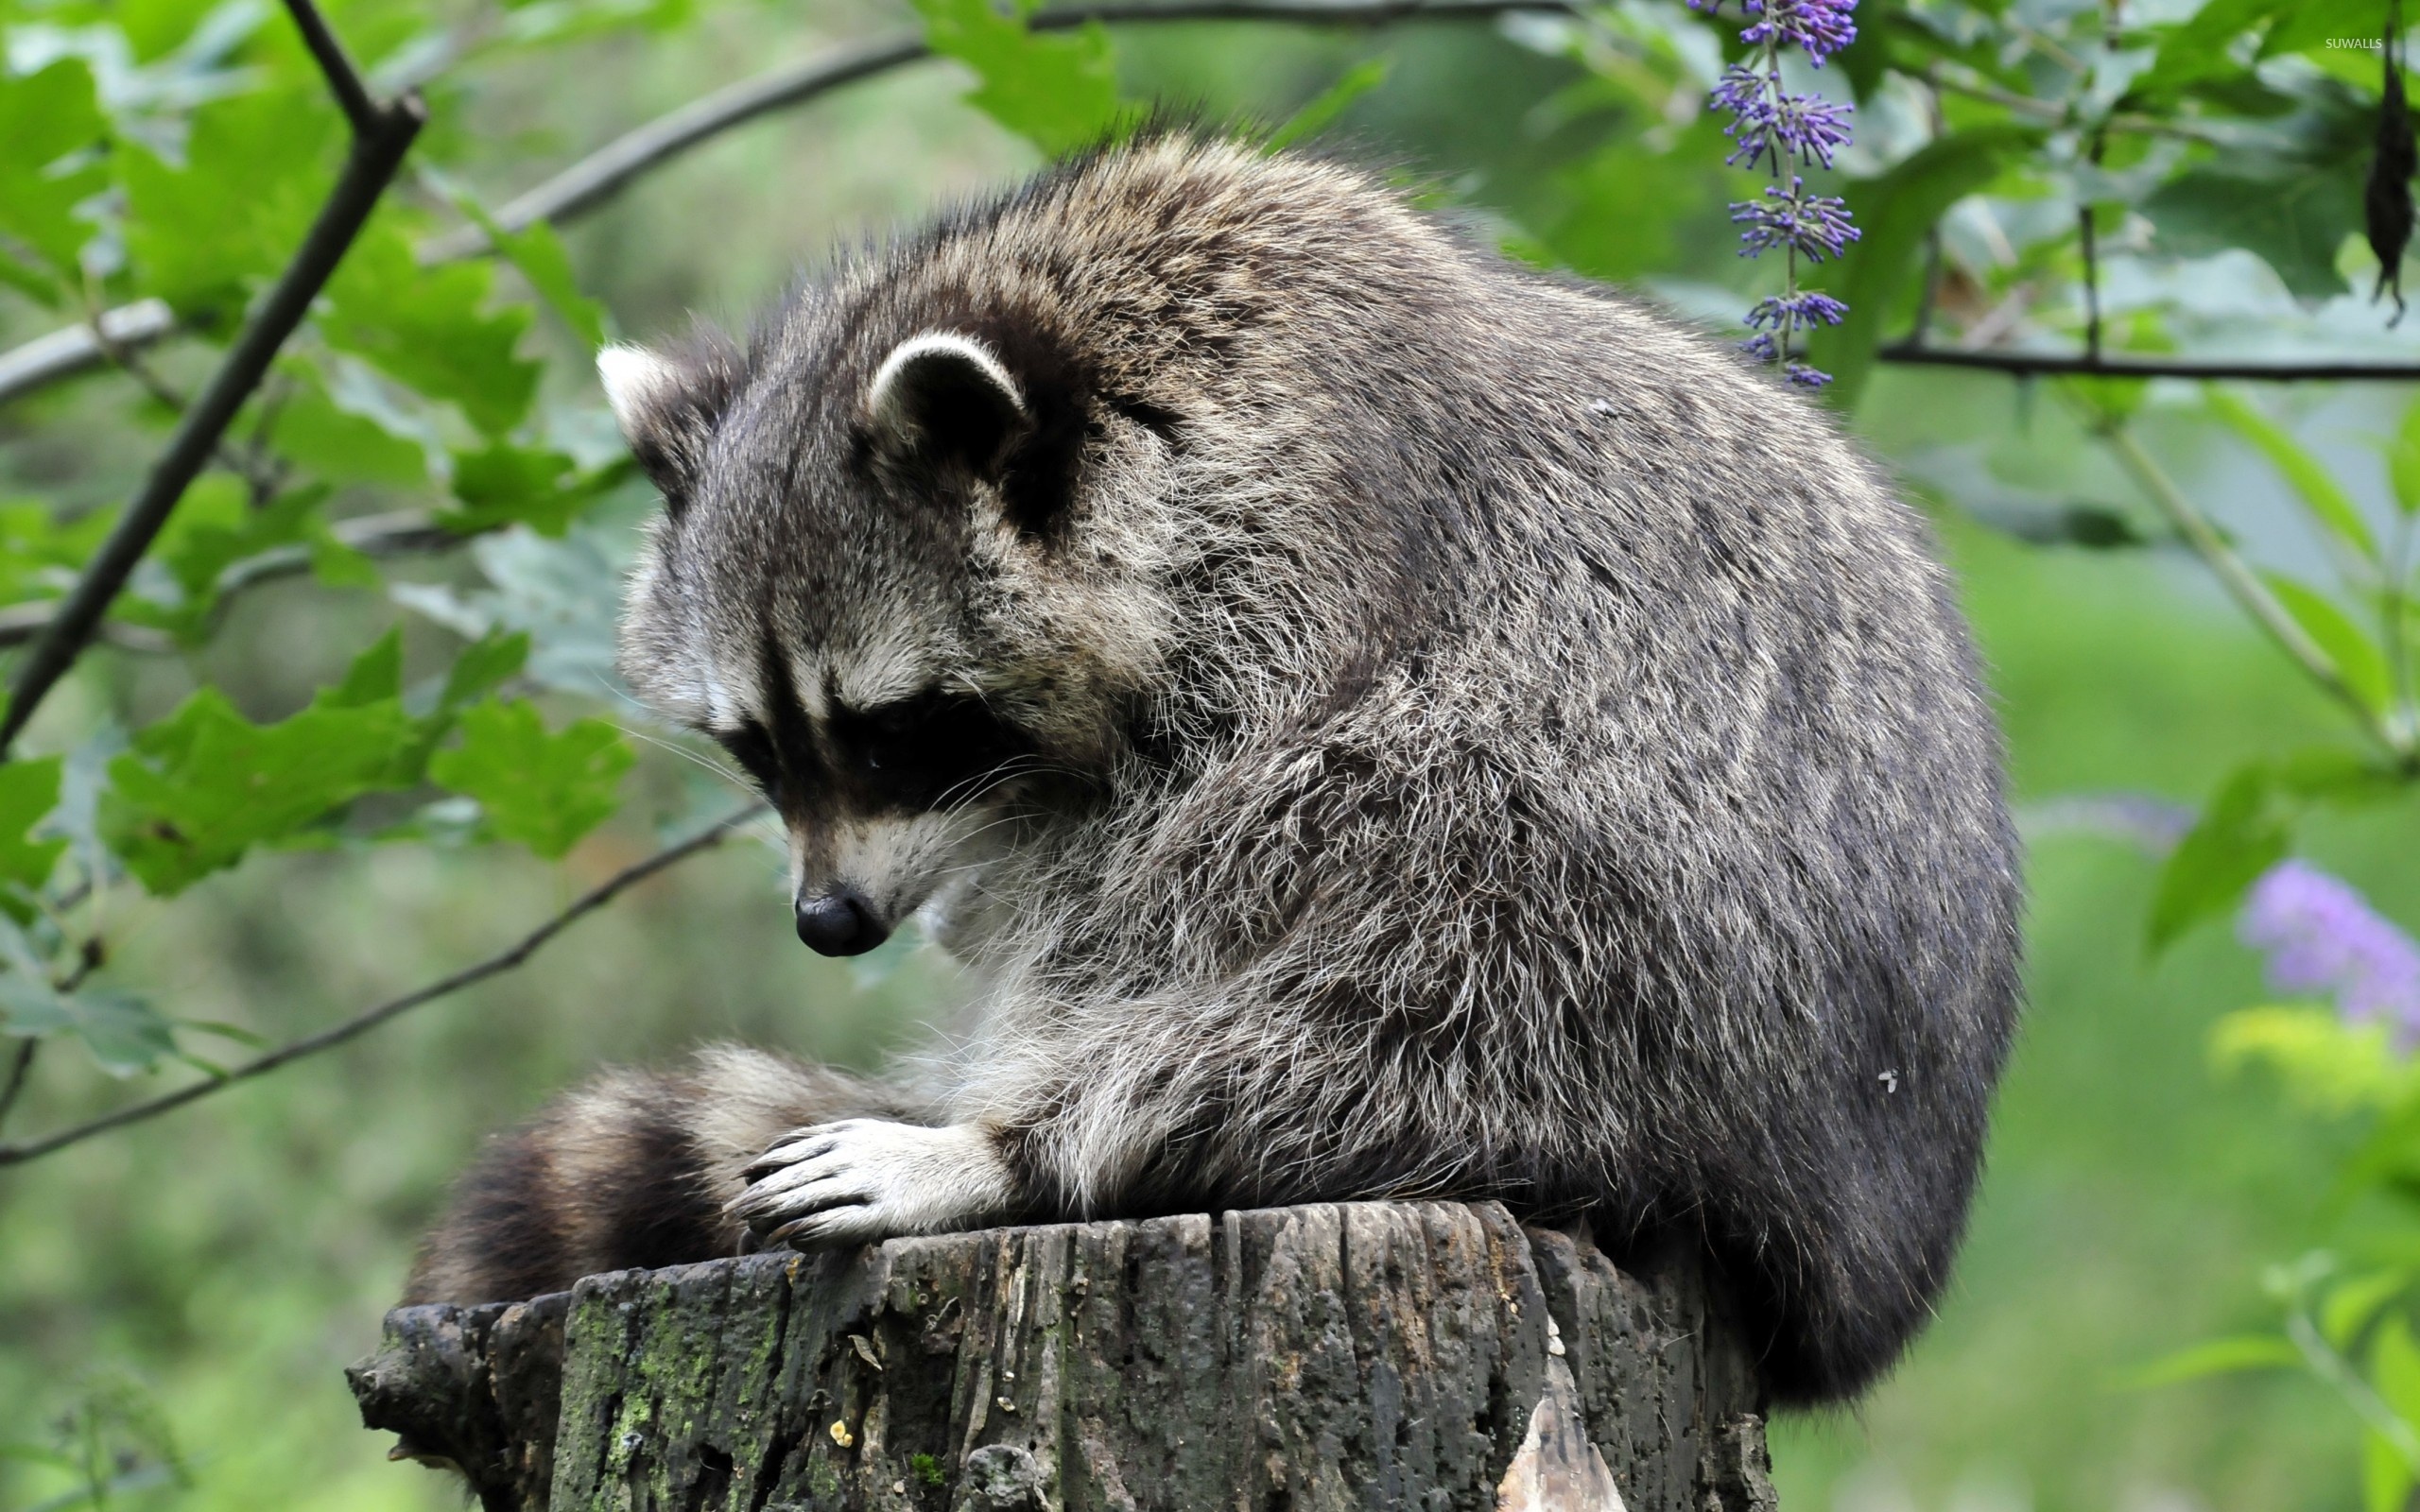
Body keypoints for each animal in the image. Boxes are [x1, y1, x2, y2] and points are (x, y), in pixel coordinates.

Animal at [411, 135, 2023, 1393]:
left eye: (894, 730)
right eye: (756, 747)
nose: (828, 923)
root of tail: (1865, 1265)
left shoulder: (1315, 573)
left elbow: (1175, 877)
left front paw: (1006, 1134)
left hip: (1648, 951)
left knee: (1423, 922)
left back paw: (1034, 1145)